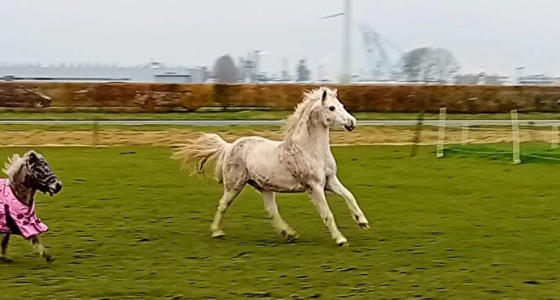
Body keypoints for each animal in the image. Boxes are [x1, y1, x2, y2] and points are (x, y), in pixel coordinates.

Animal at [173, 86, 370, 246]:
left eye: (341, 105)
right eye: (331, 108)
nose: (352, 123)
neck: (309, 149)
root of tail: (229, 146)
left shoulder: (329, 180)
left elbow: (349, 196)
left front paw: (362, 221)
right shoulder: (314, 186)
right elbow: (327, 214)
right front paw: (340, 239)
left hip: (264, 187)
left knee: (271, 211)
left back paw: (289, 234)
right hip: (234, 186)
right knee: (223, 205)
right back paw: (217, 232)